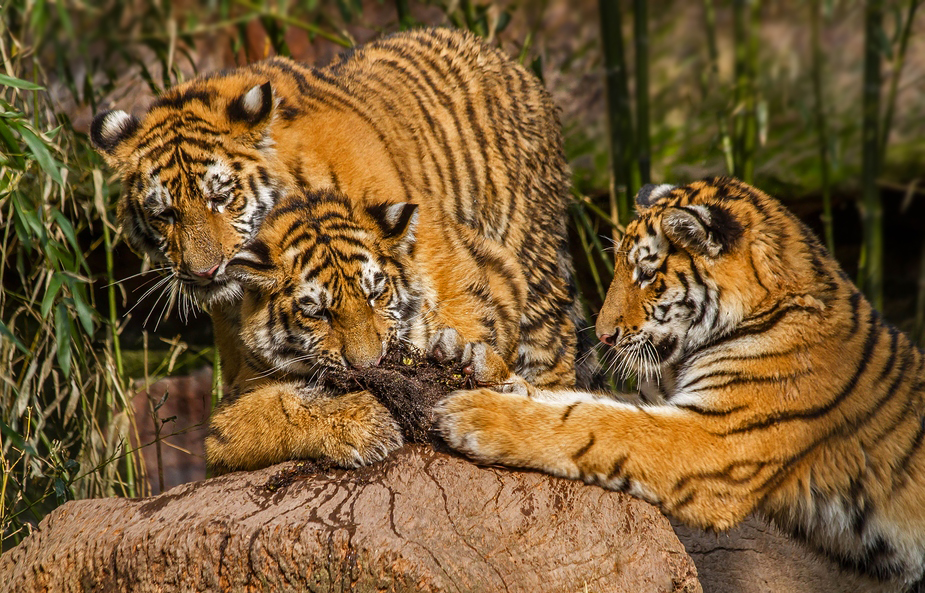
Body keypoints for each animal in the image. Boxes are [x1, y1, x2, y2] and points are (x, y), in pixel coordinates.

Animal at [92, 27, 600, 472]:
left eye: (221, 196)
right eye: (164, 214)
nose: (205, 273)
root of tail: (499, 54)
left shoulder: (441, 252)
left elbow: (469, 311)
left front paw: (461, 363)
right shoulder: (242, 377)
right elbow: (272, 410)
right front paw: (362, 423)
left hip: (534, 266)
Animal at [436, 177, 924, 592]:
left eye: (647, 274)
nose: (603, 335)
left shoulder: (717, 437)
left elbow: (596, 421)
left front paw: (475, 416)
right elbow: (584, 398)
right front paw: (480, 362)